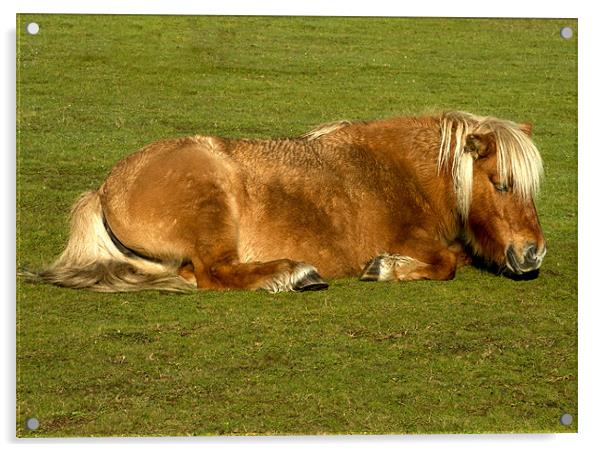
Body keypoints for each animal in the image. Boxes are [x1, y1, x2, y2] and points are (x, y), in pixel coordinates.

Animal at [25, 111, 548, 292]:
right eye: (501, 183)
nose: (533, 253)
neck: (402, 172)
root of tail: (105, 189)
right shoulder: (412, 238)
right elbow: (445, 263)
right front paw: (384, 268)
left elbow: (458, 255)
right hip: (211, 205)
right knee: (215, 274)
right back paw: (293, 274)